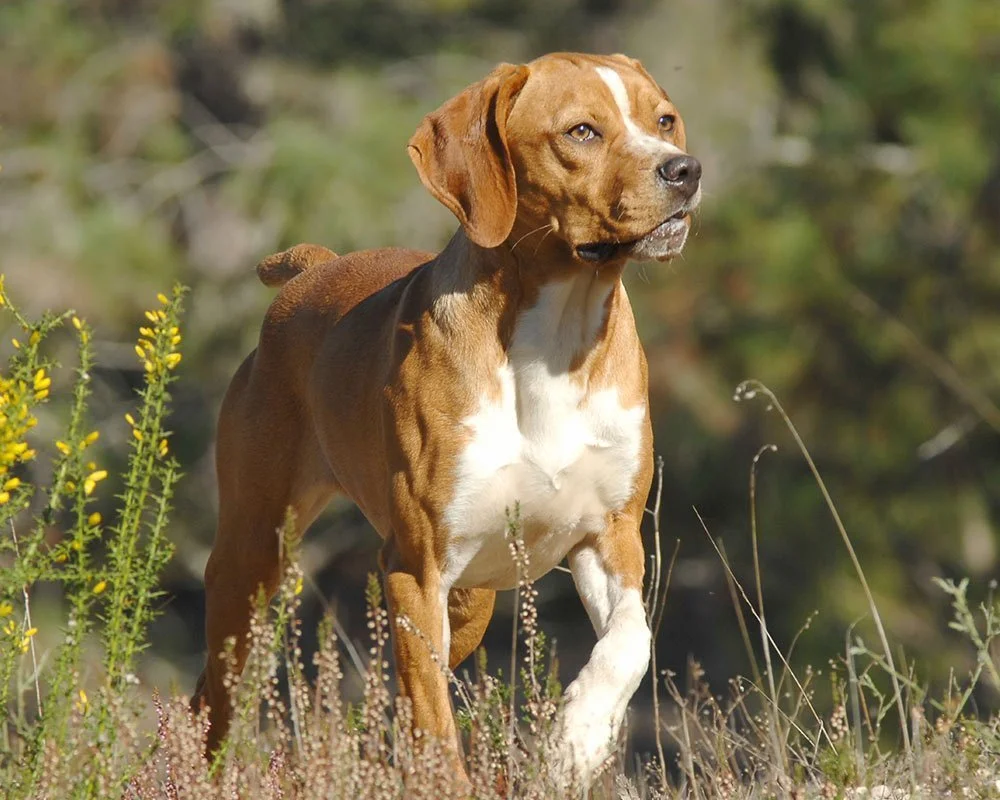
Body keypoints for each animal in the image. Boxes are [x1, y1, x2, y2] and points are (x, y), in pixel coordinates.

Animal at [191, 51, 700, 788]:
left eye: (664, 120)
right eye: (581, 131)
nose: (684, 170)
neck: (554, 341)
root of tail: (312, 271)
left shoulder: (612, 535)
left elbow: (631, 642)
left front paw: (574, 744)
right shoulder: (415, 567)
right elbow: (435, 726)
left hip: (470, 601)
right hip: (255, 554)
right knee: (218, 692)